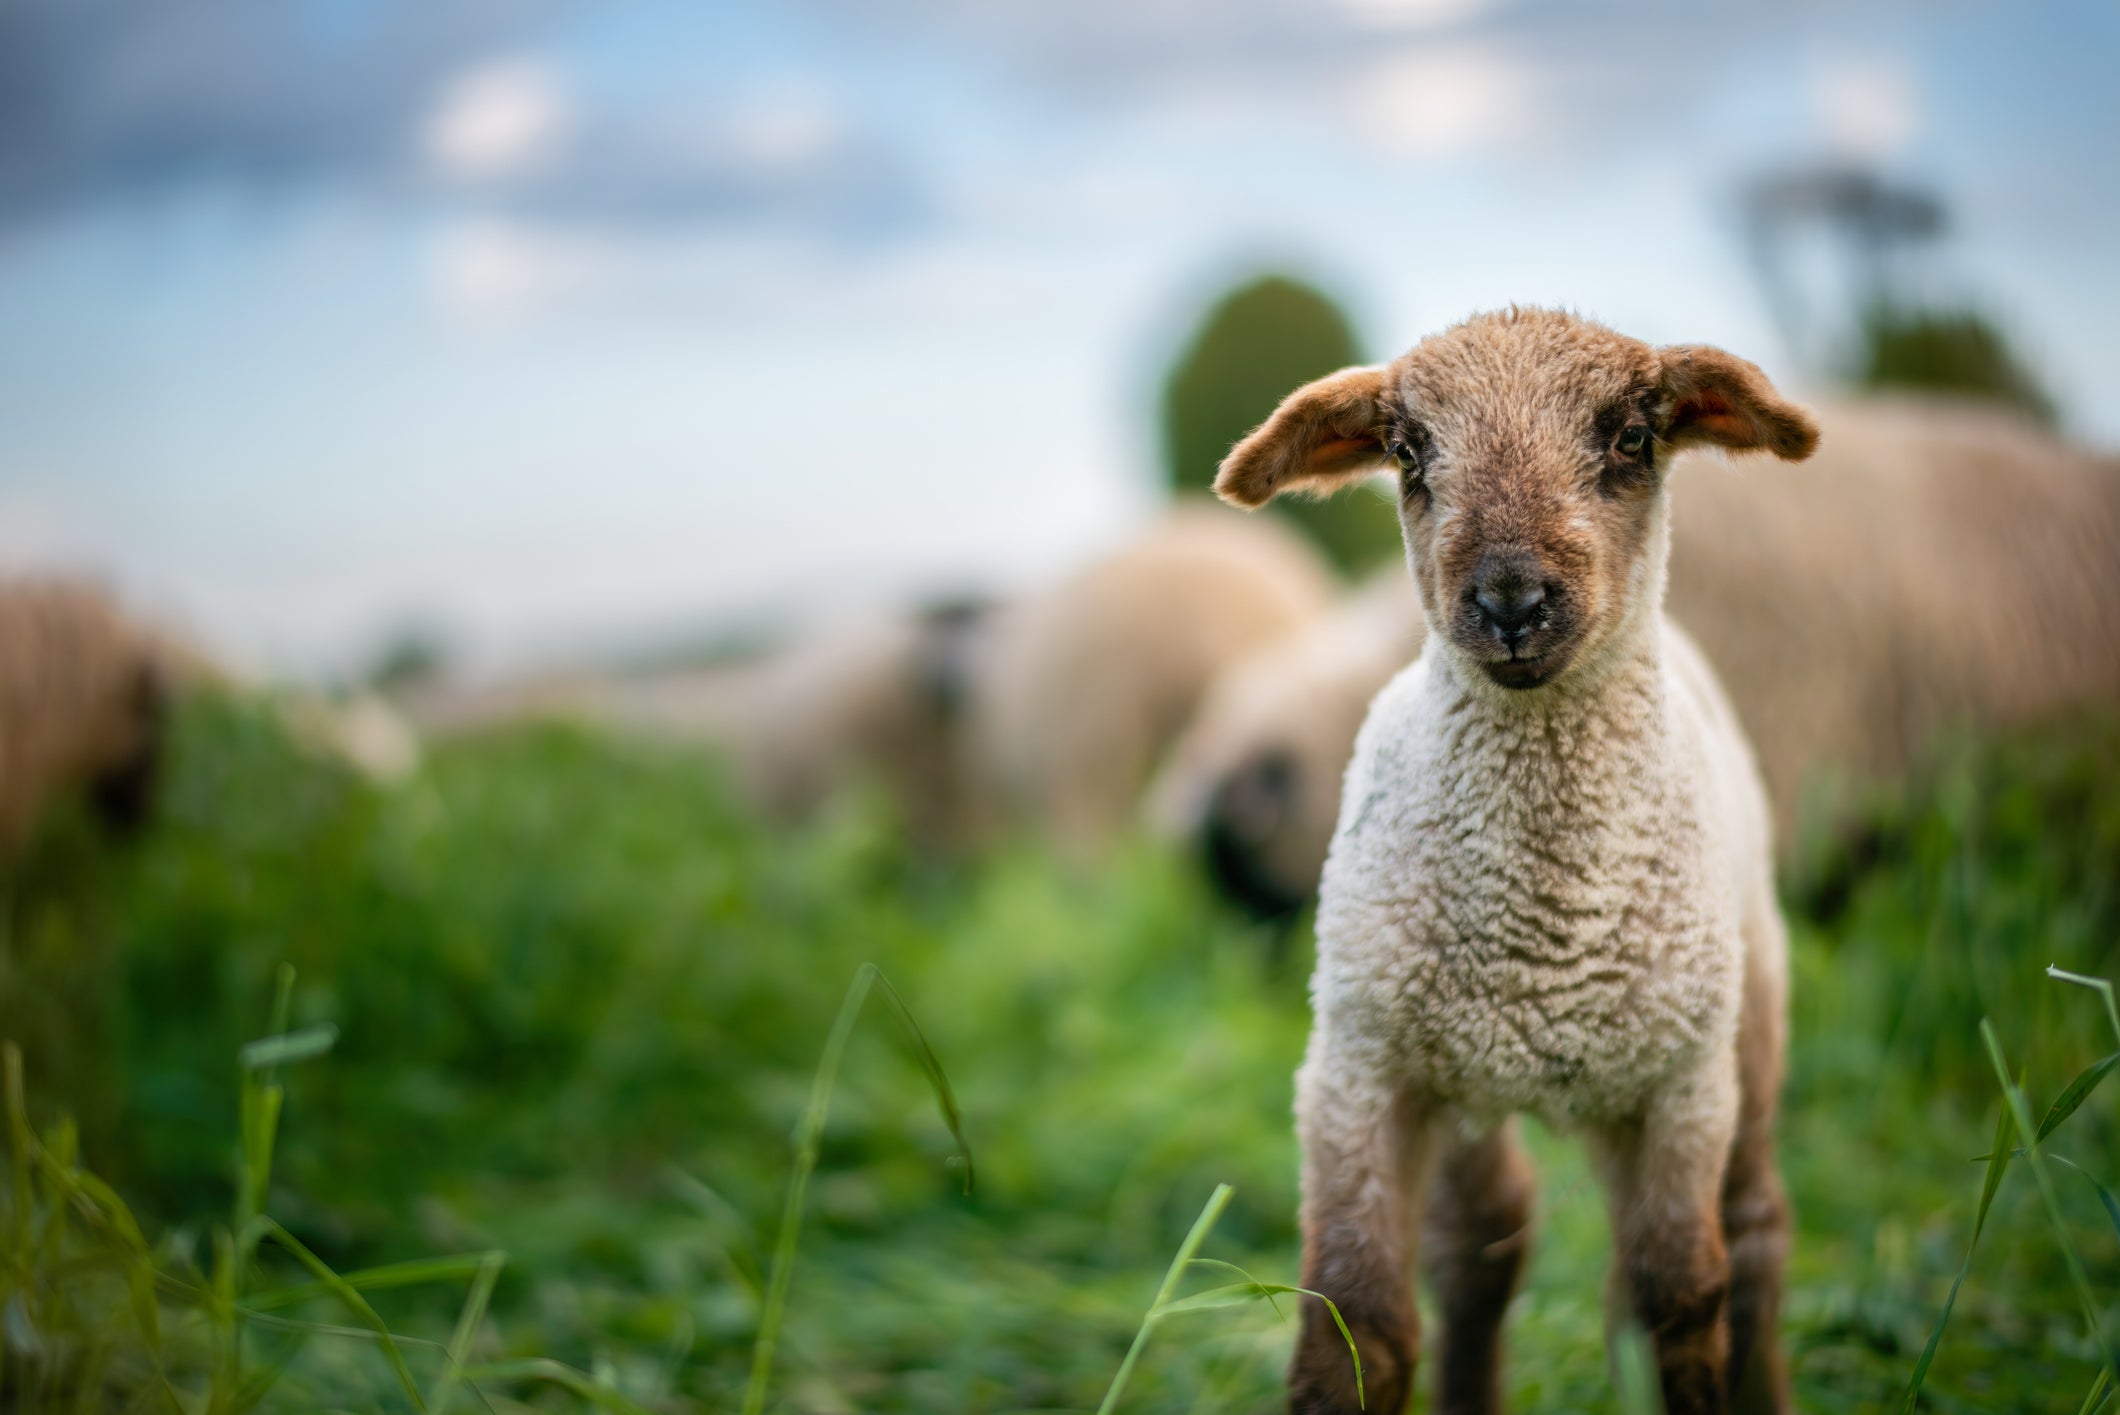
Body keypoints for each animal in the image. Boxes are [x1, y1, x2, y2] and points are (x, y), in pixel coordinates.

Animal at [1229, 311, 1823, 1415]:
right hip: (1464, 1072)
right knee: (1483, 1242)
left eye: (1632, 437)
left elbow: (1680, 1302)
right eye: (1408, 452)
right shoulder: (1357, 1067)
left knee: (1751, 1233)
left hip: (1744, 1013)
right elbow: (1356, 1320)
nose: (1510, 598)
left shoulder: (1681, 1087)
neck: (1543, 931)